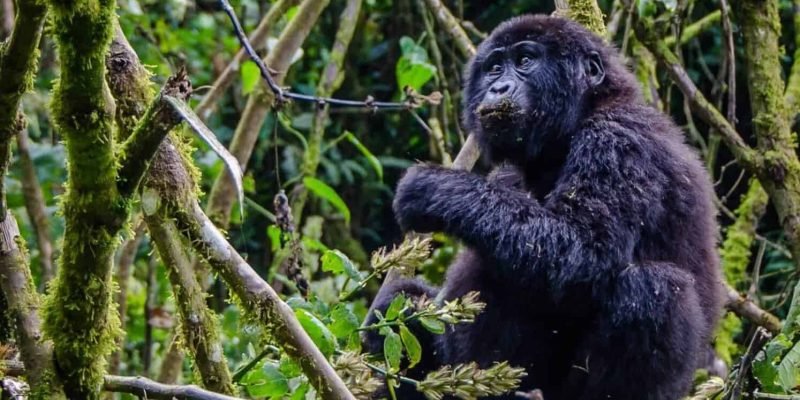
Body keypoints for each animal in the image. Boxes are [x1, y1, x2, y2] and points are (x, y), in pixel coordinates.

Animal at [366, 14, 720, 398]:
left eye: (525, 61)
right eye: (494, 68)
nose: (498, 88)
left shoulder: (619, 141)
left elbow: (582, 250)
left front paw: (432, 187)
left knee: (654, 290)